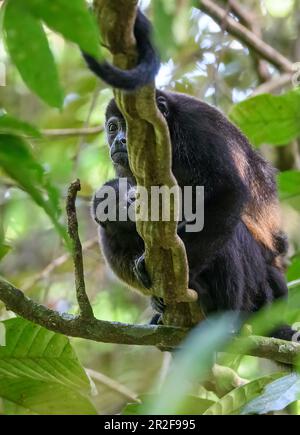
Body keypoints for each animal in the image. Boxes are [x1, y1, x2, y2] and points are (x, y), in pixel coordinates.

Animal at [86, 7, 296, 340]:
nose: (118, 141)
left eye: (125, 126)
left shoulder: (196, 128)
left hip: (263, 288)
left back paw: (224, 311)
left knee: (231, 232)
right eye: (112, 127)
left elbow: (229, 192)